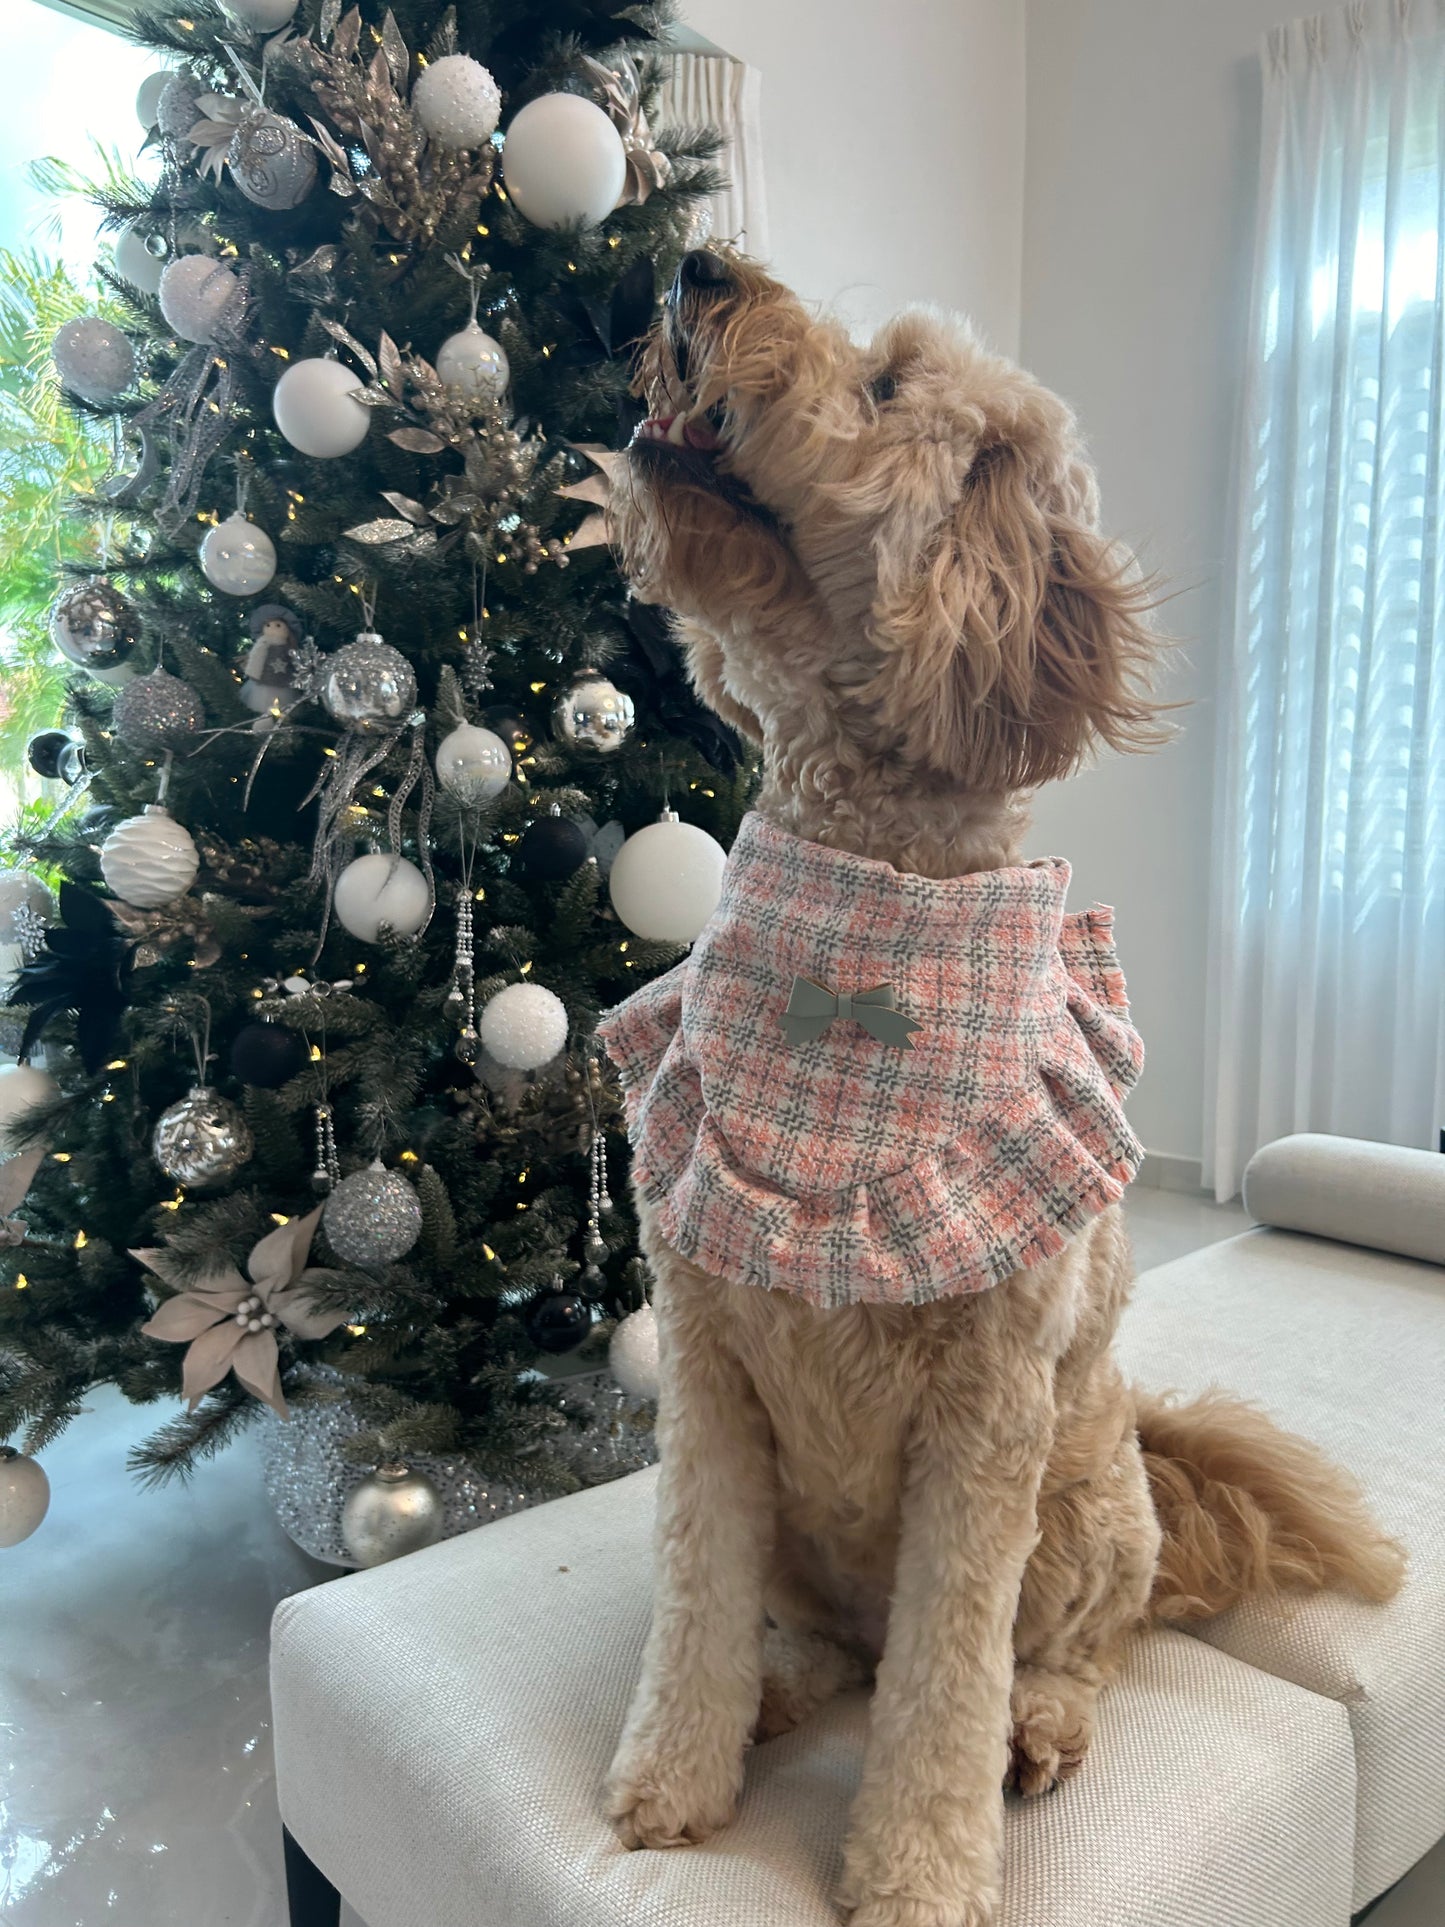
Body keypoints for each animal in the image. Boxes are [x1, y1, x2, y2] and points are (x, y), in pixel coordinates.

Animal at [589, 256, 1402, 1927]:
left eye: (891, 383)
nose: (695, 266)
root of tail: (1154, 1440)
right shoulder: (706, 1371)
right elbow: (695, 1590)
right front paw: (672, 1775)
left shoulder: (983, 1421)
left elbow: (943, 1676)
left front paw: (916, 1870)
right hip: (822, 1530)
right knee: (830, 1641)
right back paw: (777, 1685)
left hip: (1080, 1502)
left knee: (1078, 1643)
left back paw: (1038, 1725)